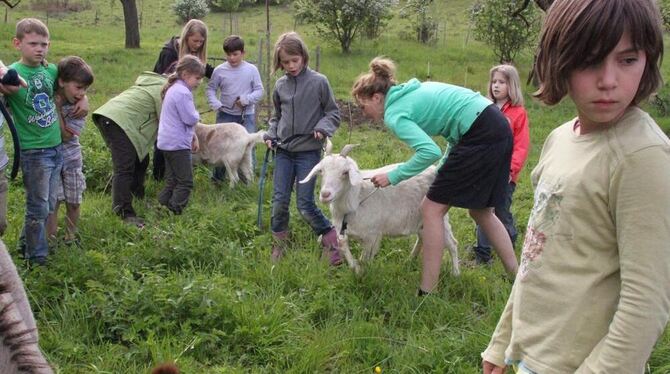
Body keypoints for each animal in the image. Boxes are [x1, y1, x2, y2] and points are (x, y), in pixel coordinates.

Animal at [302, 143, 460, 274]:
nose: (325, 194)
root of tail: (435, 169)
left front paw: (361, 274)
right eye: (321, 171)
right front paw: (355, 267)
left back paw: (455, 274)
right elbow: (343, 245)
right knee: (422, 238)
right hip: (419, 220)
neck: (357, 197)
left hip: (439, 215)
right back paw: (409, 260)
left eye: (345, 172)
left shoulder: (372, 234)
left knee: (452, 243)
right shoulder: (344, 230)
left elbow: (365, 258)